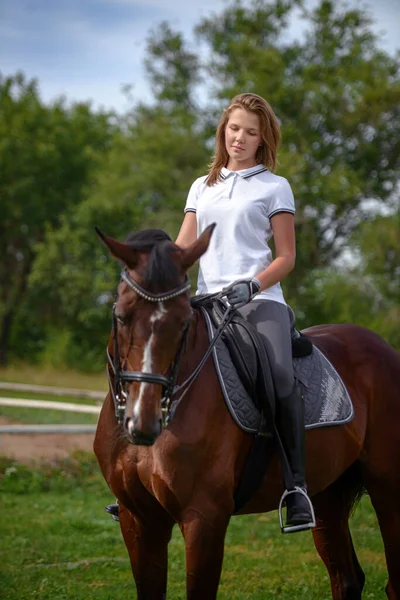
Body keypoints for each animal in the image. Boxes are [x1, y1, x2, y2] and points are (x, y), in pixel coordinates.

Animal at [93, 226, 400, 600]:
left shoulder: (204, 518)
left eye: (183, 322)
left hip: (388, 485)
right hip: (328, 491)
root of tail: (383, 347)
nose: (143, 422)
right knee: (346, 578)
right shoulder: (137, 519)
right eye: (122, 316)